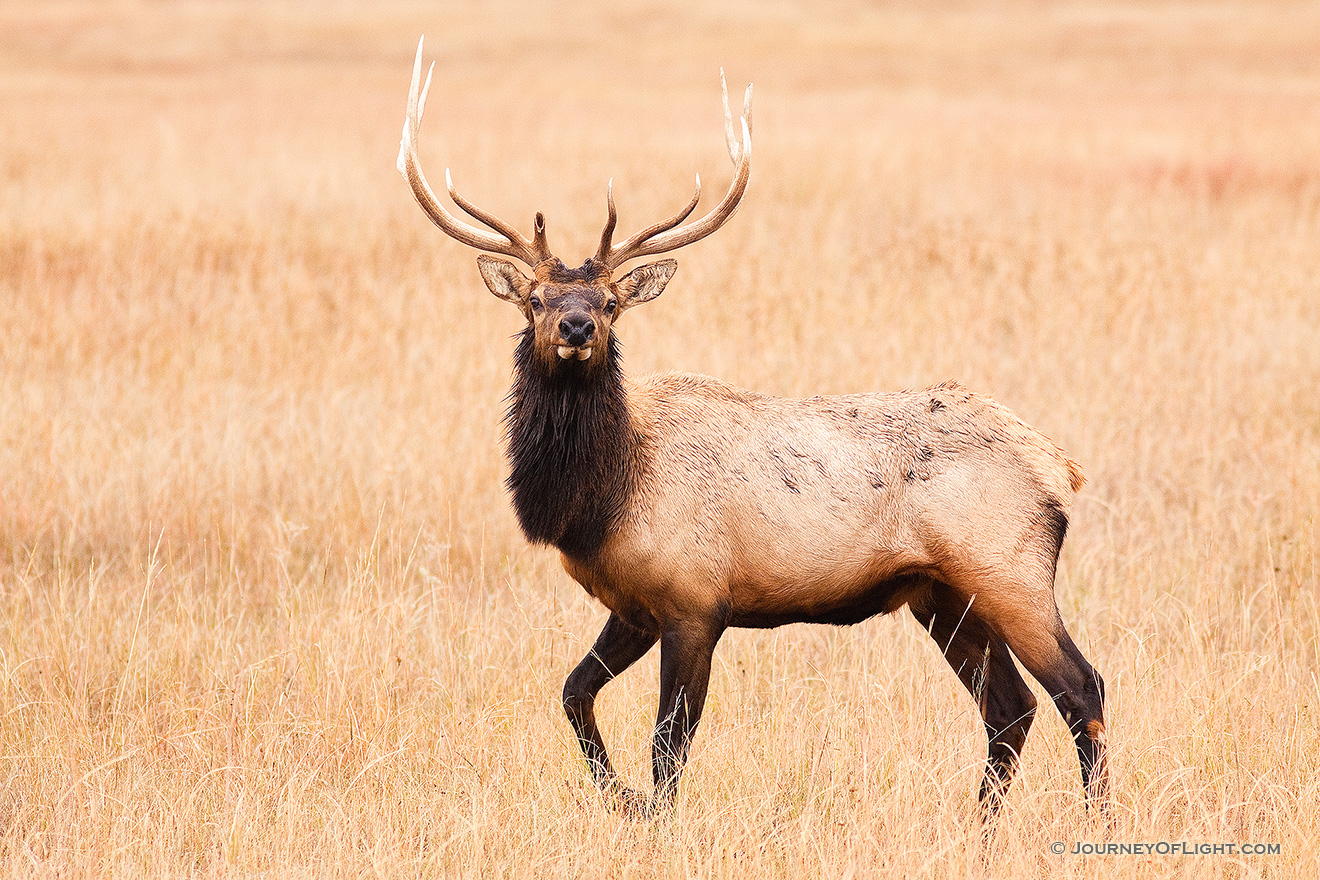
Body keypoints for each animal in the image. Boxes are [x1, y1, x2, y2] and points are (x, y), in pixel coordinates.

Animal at [396, 37, 1108, 817]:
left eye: (612, 301)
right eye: (535, 299)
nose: (577, 326)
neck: (603, 497)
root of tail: (1061, 467)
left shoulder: (695, 602)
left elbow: (668, 745)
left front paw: (651, 814)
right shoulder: (636, 606)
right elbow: (573, 693)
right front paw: (619, 798)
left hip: (1009, 572)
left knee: (1080, 688)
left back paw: (1095, 821)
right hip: (942, 594)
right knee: (1009, 708)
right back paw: (977, 828)